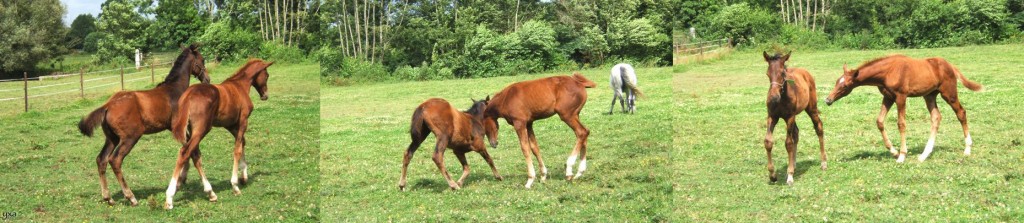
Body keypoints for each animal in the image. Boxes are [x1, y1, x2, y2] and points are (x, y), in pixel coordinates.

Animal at [78, 43, 211, 205]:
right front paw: (182, 181)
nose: (207, 79)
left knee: (101, 159)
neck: (175, 89)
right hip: (130, 137)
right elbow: (193, 151)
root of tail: (108, 105)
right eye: (202, 60)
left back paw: (108, 197)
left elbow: (188, 150)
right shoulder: (178, 127)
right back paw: (131, 197)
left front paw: (181, 180)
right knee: (115, 160)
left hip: (112, 138)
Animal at [161, 58, 272, 208]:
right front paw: (235, 185)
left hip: (191, 131)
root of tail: (188, 96)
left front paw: (244, 176)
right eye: (266, 76)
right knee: (185, 153)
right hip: (202, 130)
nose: (265, 95)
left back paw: (210, 193)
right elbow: (237, 149)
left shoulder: (230, 125)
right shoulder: (243, 121)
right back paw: (170, 197)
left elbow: (242, 142)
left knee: (195, 155)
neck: (240, 86)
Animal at [761, 51, 823, 185]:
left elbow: (788, 143)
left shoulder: (789, 117)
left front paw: (789, 176)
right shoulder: (772, 116)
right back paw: (793, 164)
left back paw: (823, 163)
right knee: (796, 133)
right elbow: (768, 141)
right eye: (767, 73)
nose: (773, 97)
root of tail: (806, 72)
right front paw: (772, 175)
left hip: (811, 108)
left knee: (819, 127)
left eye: (782, 73)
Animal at [823, 53, 983, 161]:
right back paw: (924, 155)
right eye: (837, 81)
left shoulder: (901, 96)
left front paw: (902, 155)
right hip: (930, 95)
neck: (887, 72)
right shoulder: (888, 97)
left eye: (845, 86)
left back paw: (967, 149)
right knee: (936, 117)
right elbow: (879, 121)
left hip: (949, 93)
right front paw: (893, 151)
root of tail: (951, 66)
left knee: (961, 112)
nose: (828, 100)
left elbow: (901, 124)